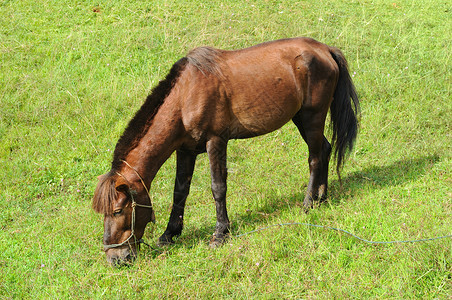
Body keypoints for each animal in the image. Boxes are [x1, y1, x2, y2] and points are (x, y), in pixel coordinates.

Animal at [92, 37, 360, 264]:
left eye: (117, 210)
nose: (115, 259)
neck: (186, 95)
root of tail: (325, 50)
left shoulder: (216, 141)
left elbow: (218, 188)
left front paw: (221, 233)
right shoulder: (186, 150)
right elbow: (180, 192)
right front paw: (170, 234)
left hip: (312, 116)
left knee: (315, 158)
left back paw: (308, 203)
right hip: (301, 119)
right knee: (324, 150)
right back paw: (322, 197)